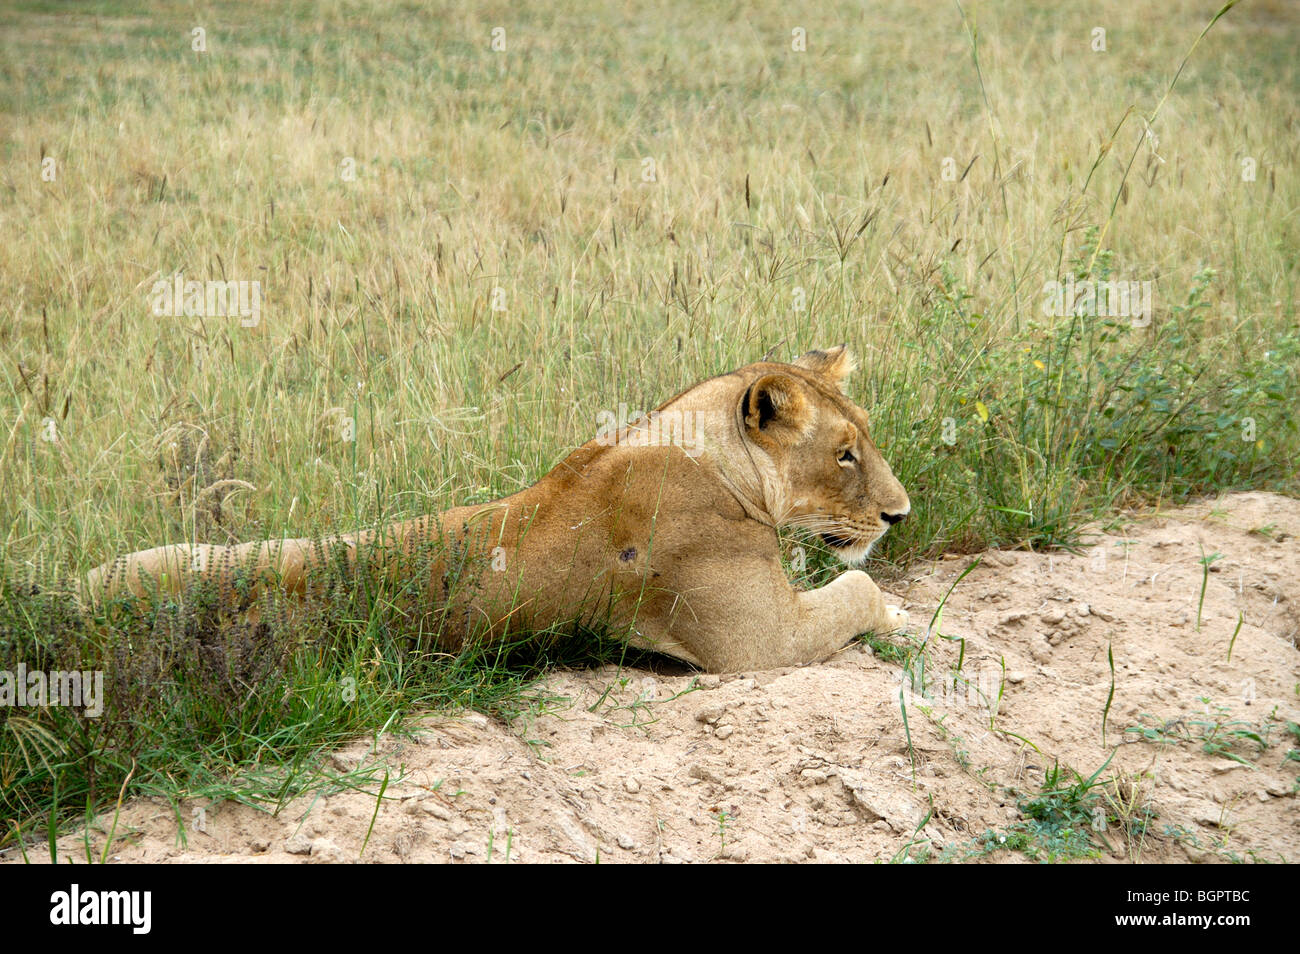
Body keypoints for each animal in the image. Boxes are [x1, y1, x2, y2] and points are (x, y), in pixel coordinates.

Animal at [85, 345, 911, 672]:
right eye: (845, 454)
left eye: (863, 438)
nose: (900, 515)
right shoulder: (760, 647)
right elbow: (860, 586)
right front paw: (905, 616)